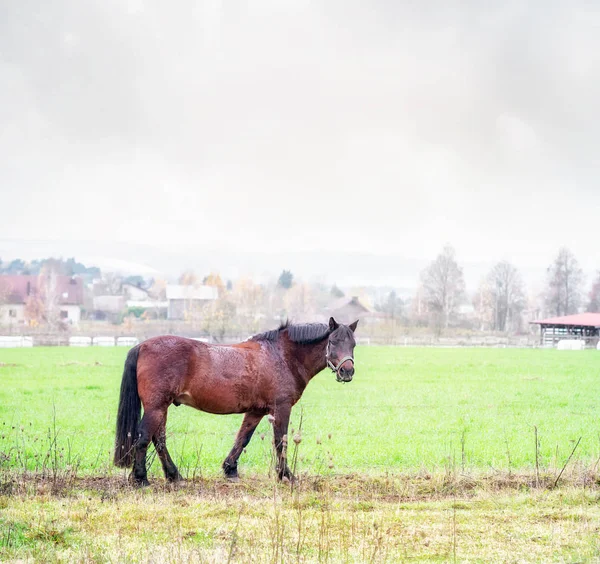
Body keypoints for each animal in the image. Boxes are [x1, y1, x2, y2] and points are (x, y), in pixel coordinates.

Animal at [113, 318, 356, 484]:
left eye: (353, 343)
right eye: (333, 341)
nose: (347, 371)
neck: (282, 355)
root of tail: (142, 346)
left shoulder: (256, 411)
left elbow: (242, 438)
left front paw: (230, 469)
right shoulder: (281, 408)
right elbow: (281, 441)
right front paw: (286, 475)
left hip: (161, 408)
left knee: (159, 439)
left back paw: (174, 475)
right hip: (156, 407)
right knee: (144, 437)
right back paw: (141, 478)